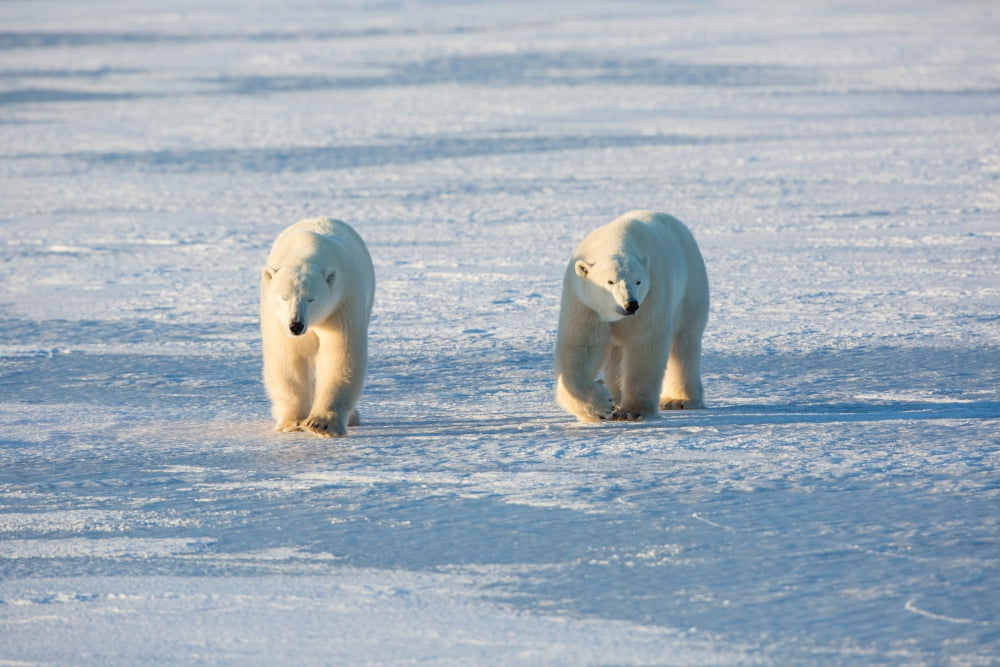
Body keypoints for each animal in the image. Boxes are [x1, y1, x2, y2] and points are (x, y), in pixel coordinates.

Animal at [260, 217, 375, 437]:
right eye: (284, 297)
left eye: (311, 298)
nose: (296, 325)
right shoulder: (276, 319)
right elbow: (288, 356)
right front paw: (293, 421)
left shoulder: (342, 303)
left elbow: (340, 354)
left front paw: (321, 424)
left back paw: (352, 417)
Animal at [555, 210, 709, 422]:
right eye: (610, 281)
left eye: (638, 281)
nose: (631, 305)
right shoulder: (584, 302)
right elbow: (582, 346)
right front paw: (602, 406)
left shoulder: (652, 294)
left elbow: (644, 344)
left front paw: (634, 411)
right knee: (615, 354)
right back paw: (615, 396)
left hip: (690, 289)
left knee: (684, 343)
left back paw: (679, 400)